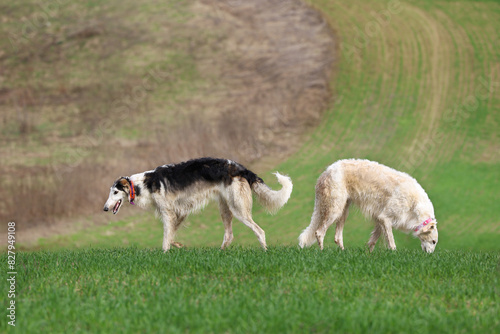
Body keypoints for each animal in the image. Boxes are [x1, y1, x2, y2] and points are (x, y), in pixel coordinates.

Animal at [105, 159, 292, 250]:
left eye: (115, 192)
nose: (105, 208)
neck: (144, 184)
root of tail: (241, 168)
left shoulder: (168, 213)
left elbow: (166, 240)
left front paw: (165, 252)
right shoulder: (179, 213)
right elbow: (171, 236)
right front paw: (178, 245)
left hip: (239, 209)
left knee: (260, 231)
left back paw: (265, 251)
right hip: (225, 208)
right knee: (229, 235)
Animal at [300, 160, 438, 253]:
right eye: (433, 241)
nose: (429, 255)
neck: (416, 205)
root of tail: (326, 171)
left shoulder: (380, 220)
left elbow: (373, 241)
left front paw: (369, 254)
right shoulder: (385, 217)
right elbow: (391, 242)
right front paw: (393, 253)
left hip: (344, 211)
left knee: (337, 237)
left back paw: (343, 252)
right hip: (334, 210)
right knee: (319, 232)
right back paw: (322, 251)